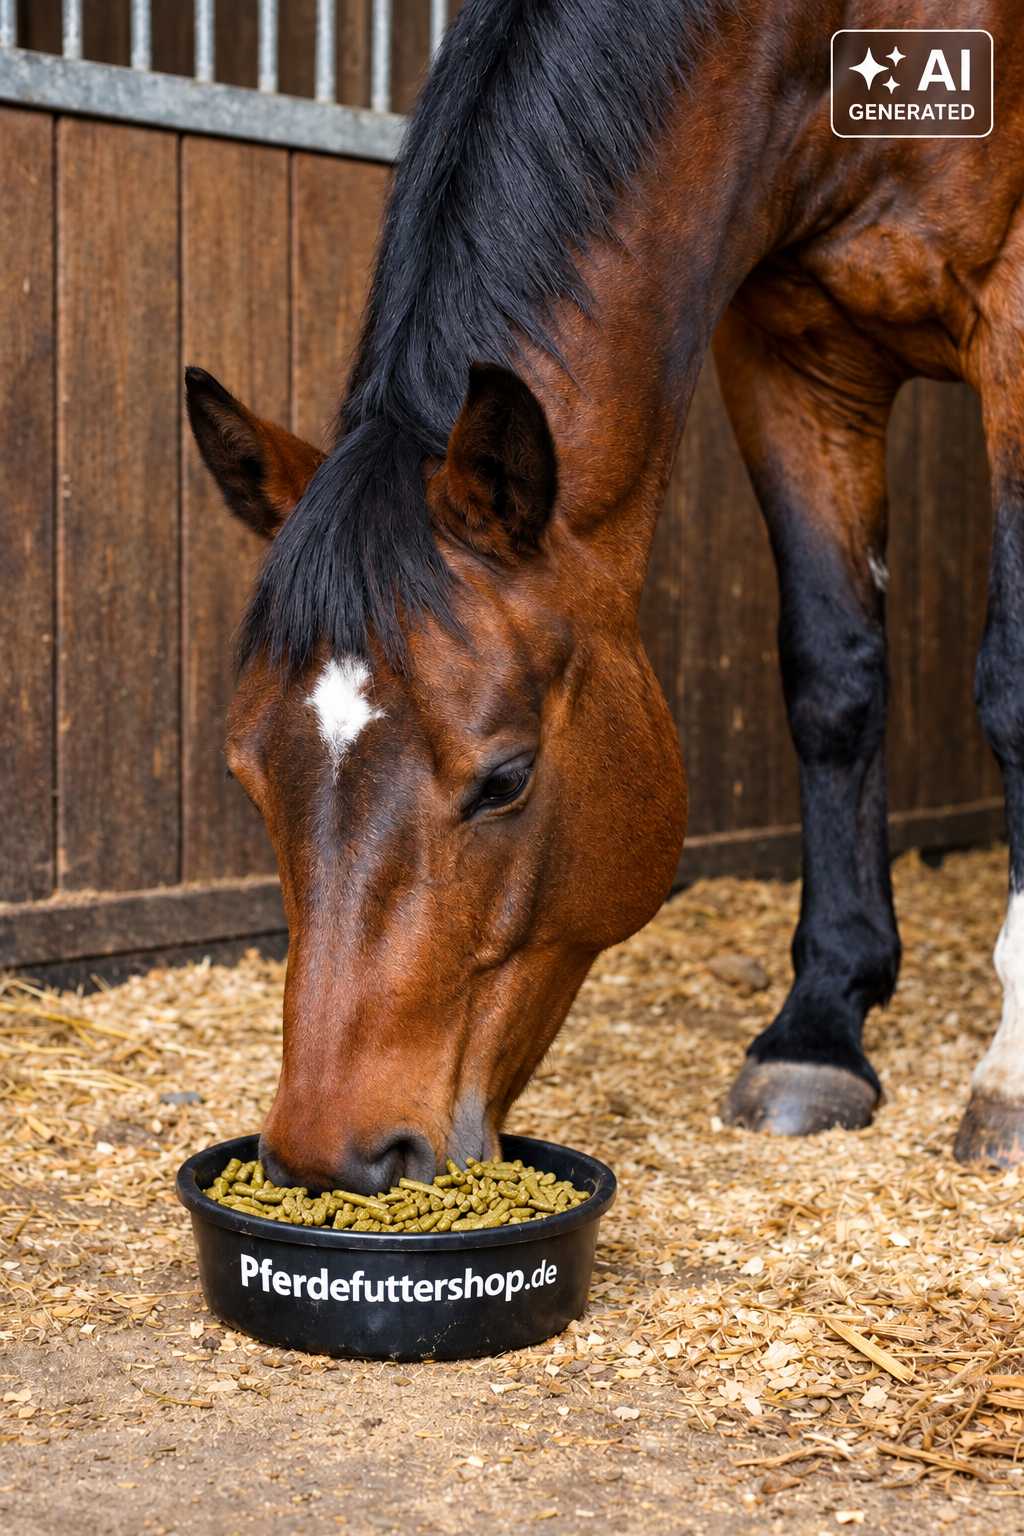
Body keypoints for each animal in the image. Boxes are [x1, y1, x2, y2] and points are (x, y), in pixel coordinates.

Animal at [185, 0, 1024, 1192]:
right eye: (246, 775)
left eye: (505, 779)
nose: (329, 1159)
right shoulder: (793, 355)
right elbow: (834, 678)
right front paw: (817, 1032)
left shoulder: (1012, 319)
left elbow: (1009, 685)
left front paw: (1006, 1076)